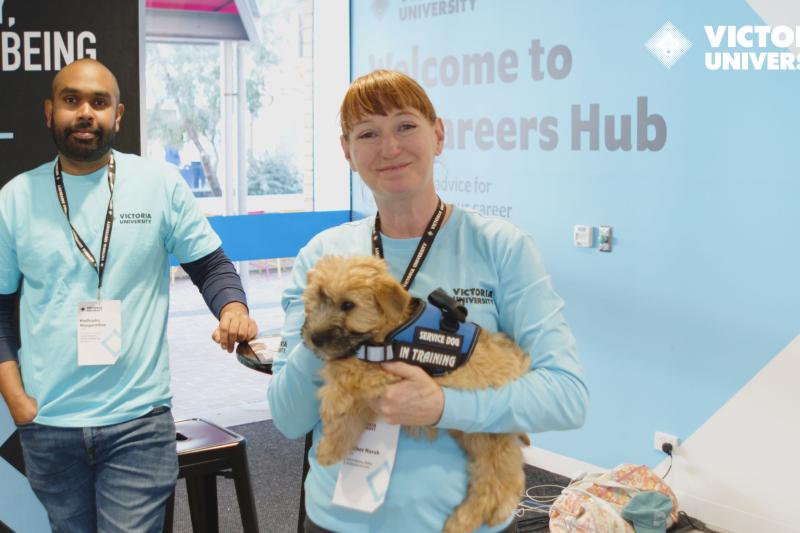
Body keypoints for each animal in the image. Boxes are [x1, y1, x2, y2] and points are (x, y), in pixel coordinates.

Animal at [300, 255, 532, 532]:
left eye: (348, 305)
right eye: (319, 296)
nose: (315, 338)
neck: (390, 328)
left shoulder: (387, 368)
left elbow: (348, 369)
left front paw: (332, 398)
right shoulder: (369, 396)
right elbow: (349, 423)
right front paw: (330, 450)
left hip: (490, 437)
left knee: (502, 479)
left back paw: (465, 520)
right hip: (477, 439)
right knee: (500, 474)